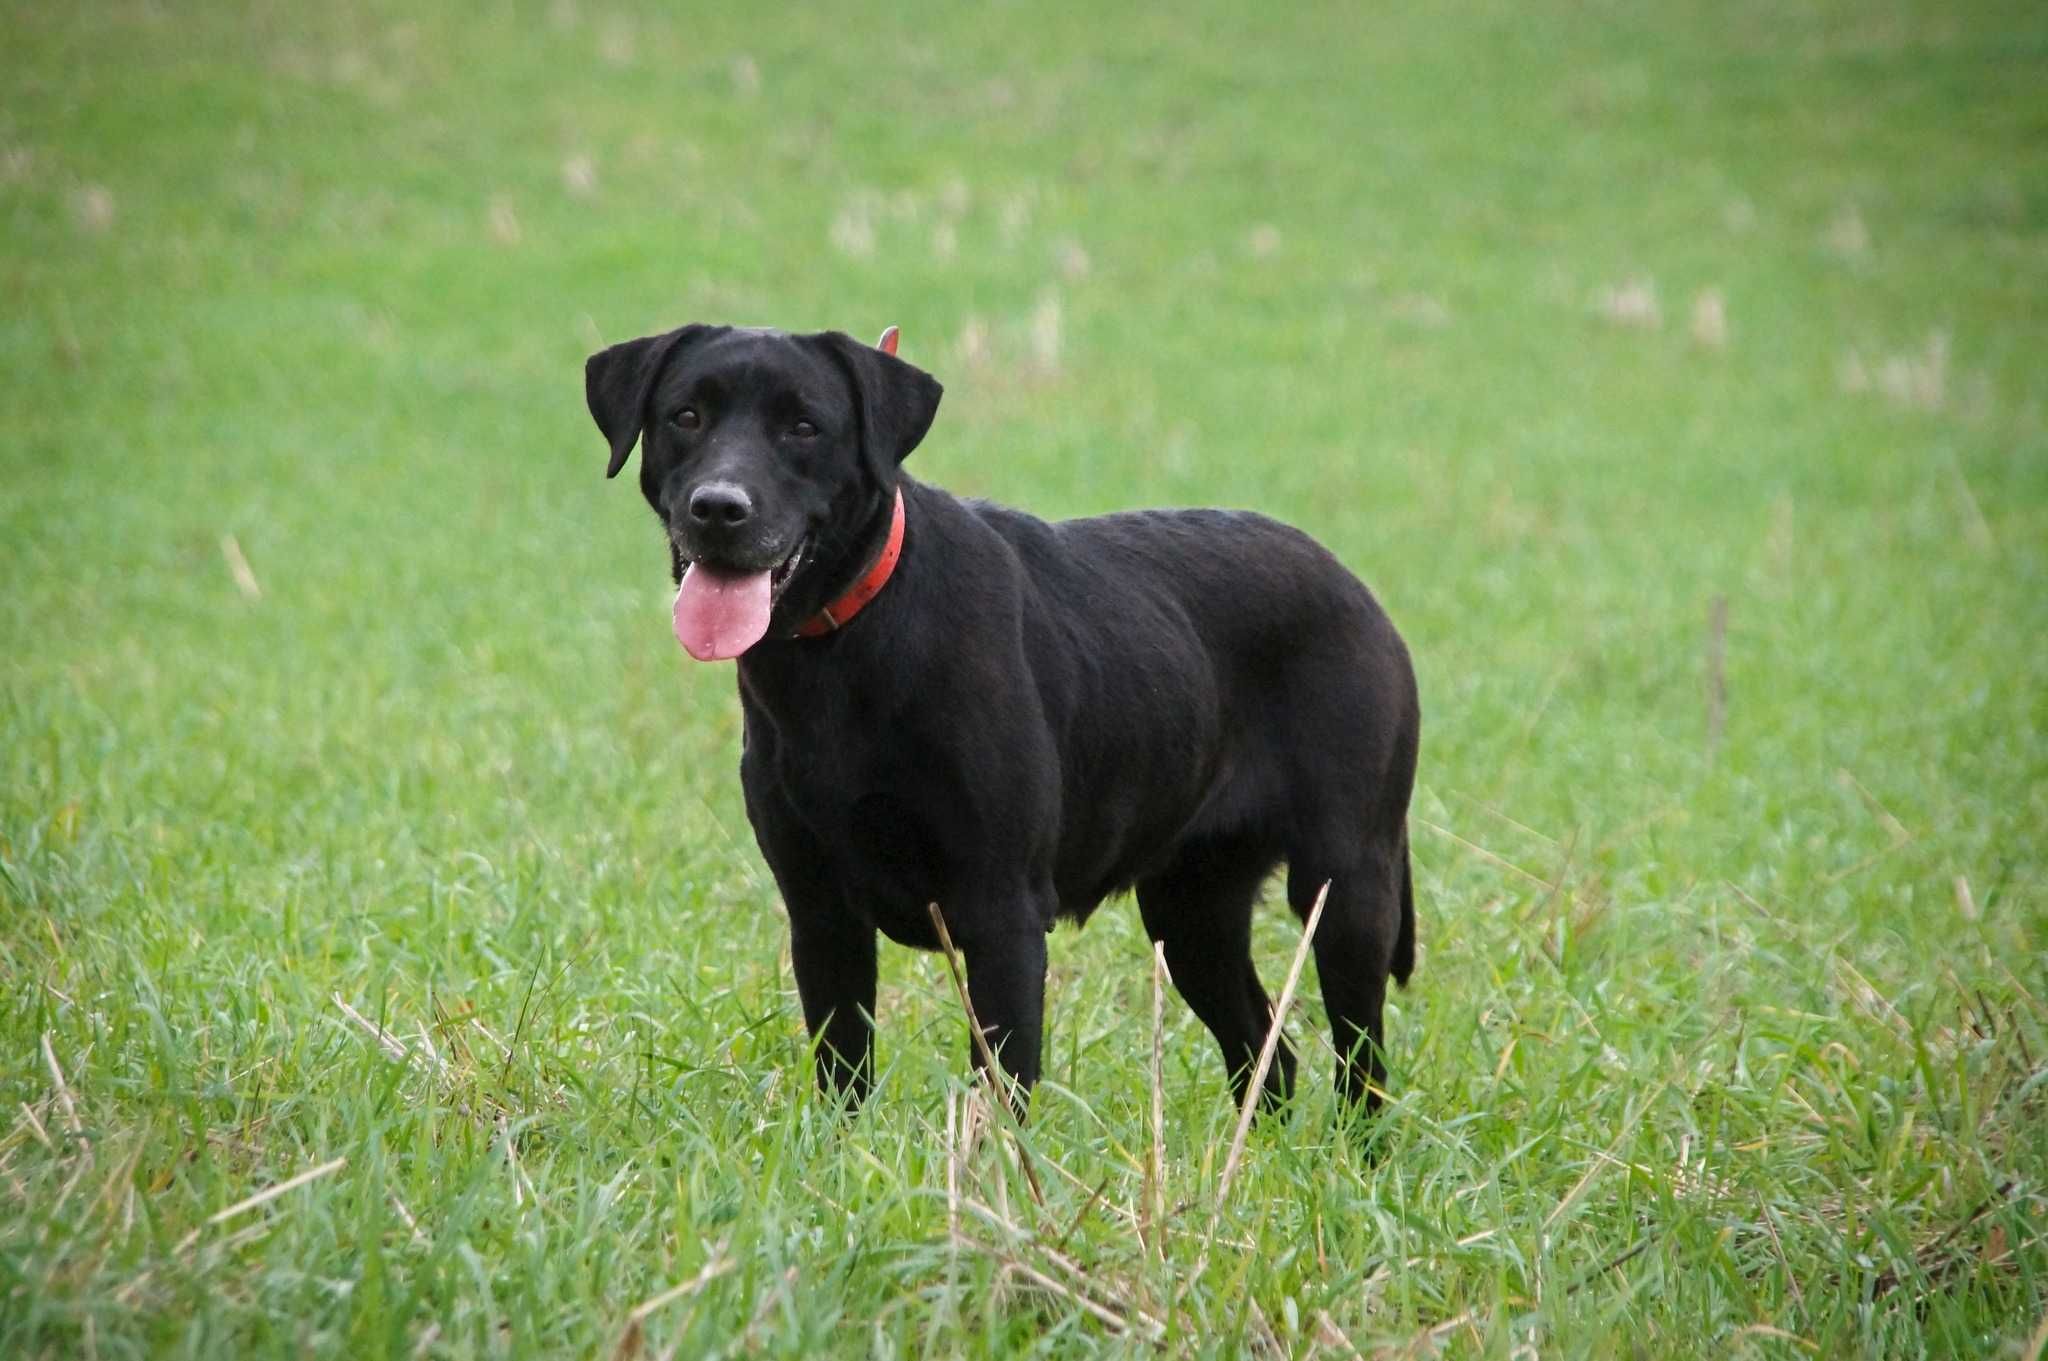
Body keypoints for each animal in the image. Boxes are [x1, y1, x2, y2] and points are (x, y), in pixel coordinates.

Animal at [585, 323, 1417, 1113]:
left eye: (804, 427)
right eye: (686, 416)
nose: (720, 508)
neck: (845, 648)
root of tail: (1356, 588)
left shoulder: (1001, 910)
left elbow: (1004, 1086)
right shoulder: (820, 909)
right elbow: (843, 1069)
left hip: (1345, 885)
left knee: (1362, 1062)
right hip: (1191, 909)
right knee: (1268, 1049)